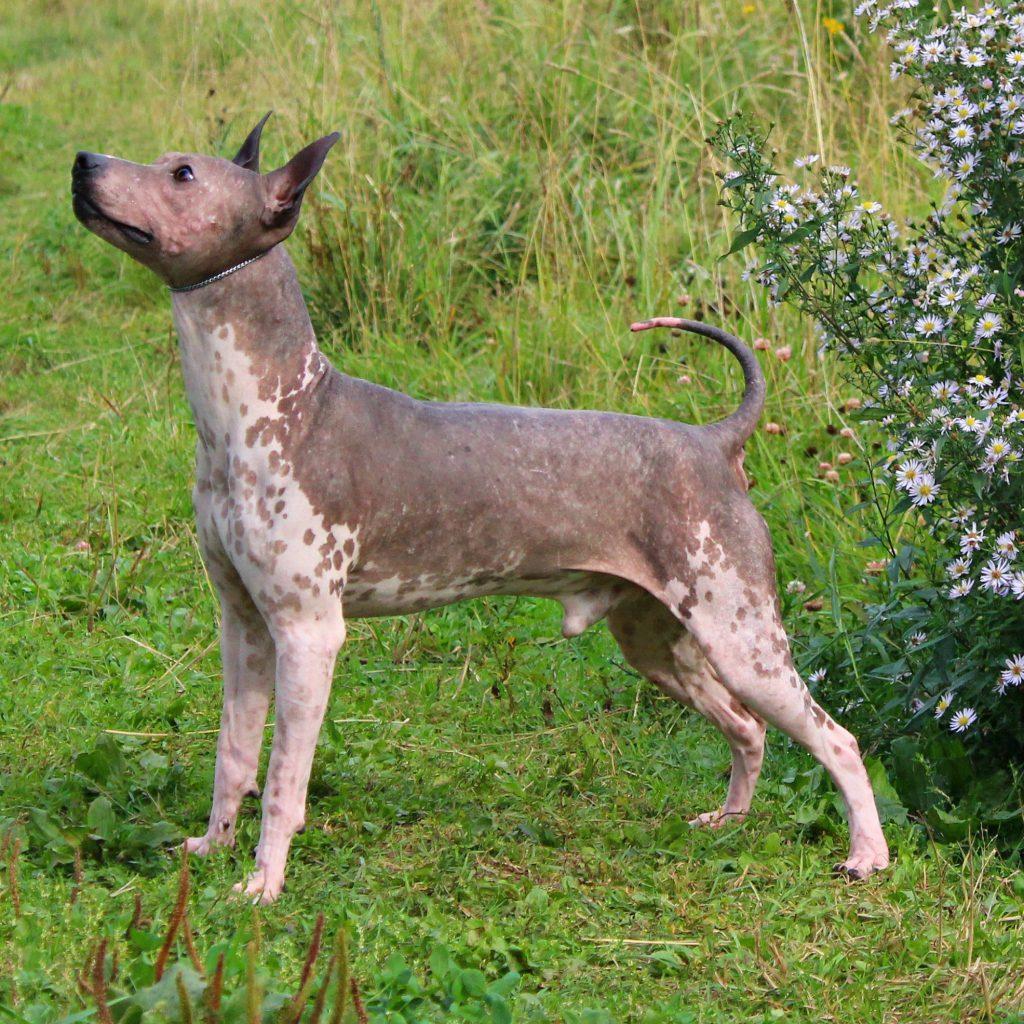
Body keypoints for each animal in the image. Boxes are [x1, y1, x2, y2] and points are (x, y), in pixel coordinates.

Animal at [74, 116, 888, 905]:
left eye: (183, 175)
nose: (83, 161)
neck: (273, 412)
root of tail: (715, 440)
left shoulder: (308, 636)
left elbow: (281, 783)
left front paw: (264, 882)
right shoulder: (242, 624)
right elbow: (234, 756)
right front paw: (212, 848)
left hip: (743, 641)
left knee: (837, 739)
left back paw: (867, 857)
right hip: (658, 644)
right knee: (747, 730)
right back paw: (731, 820)